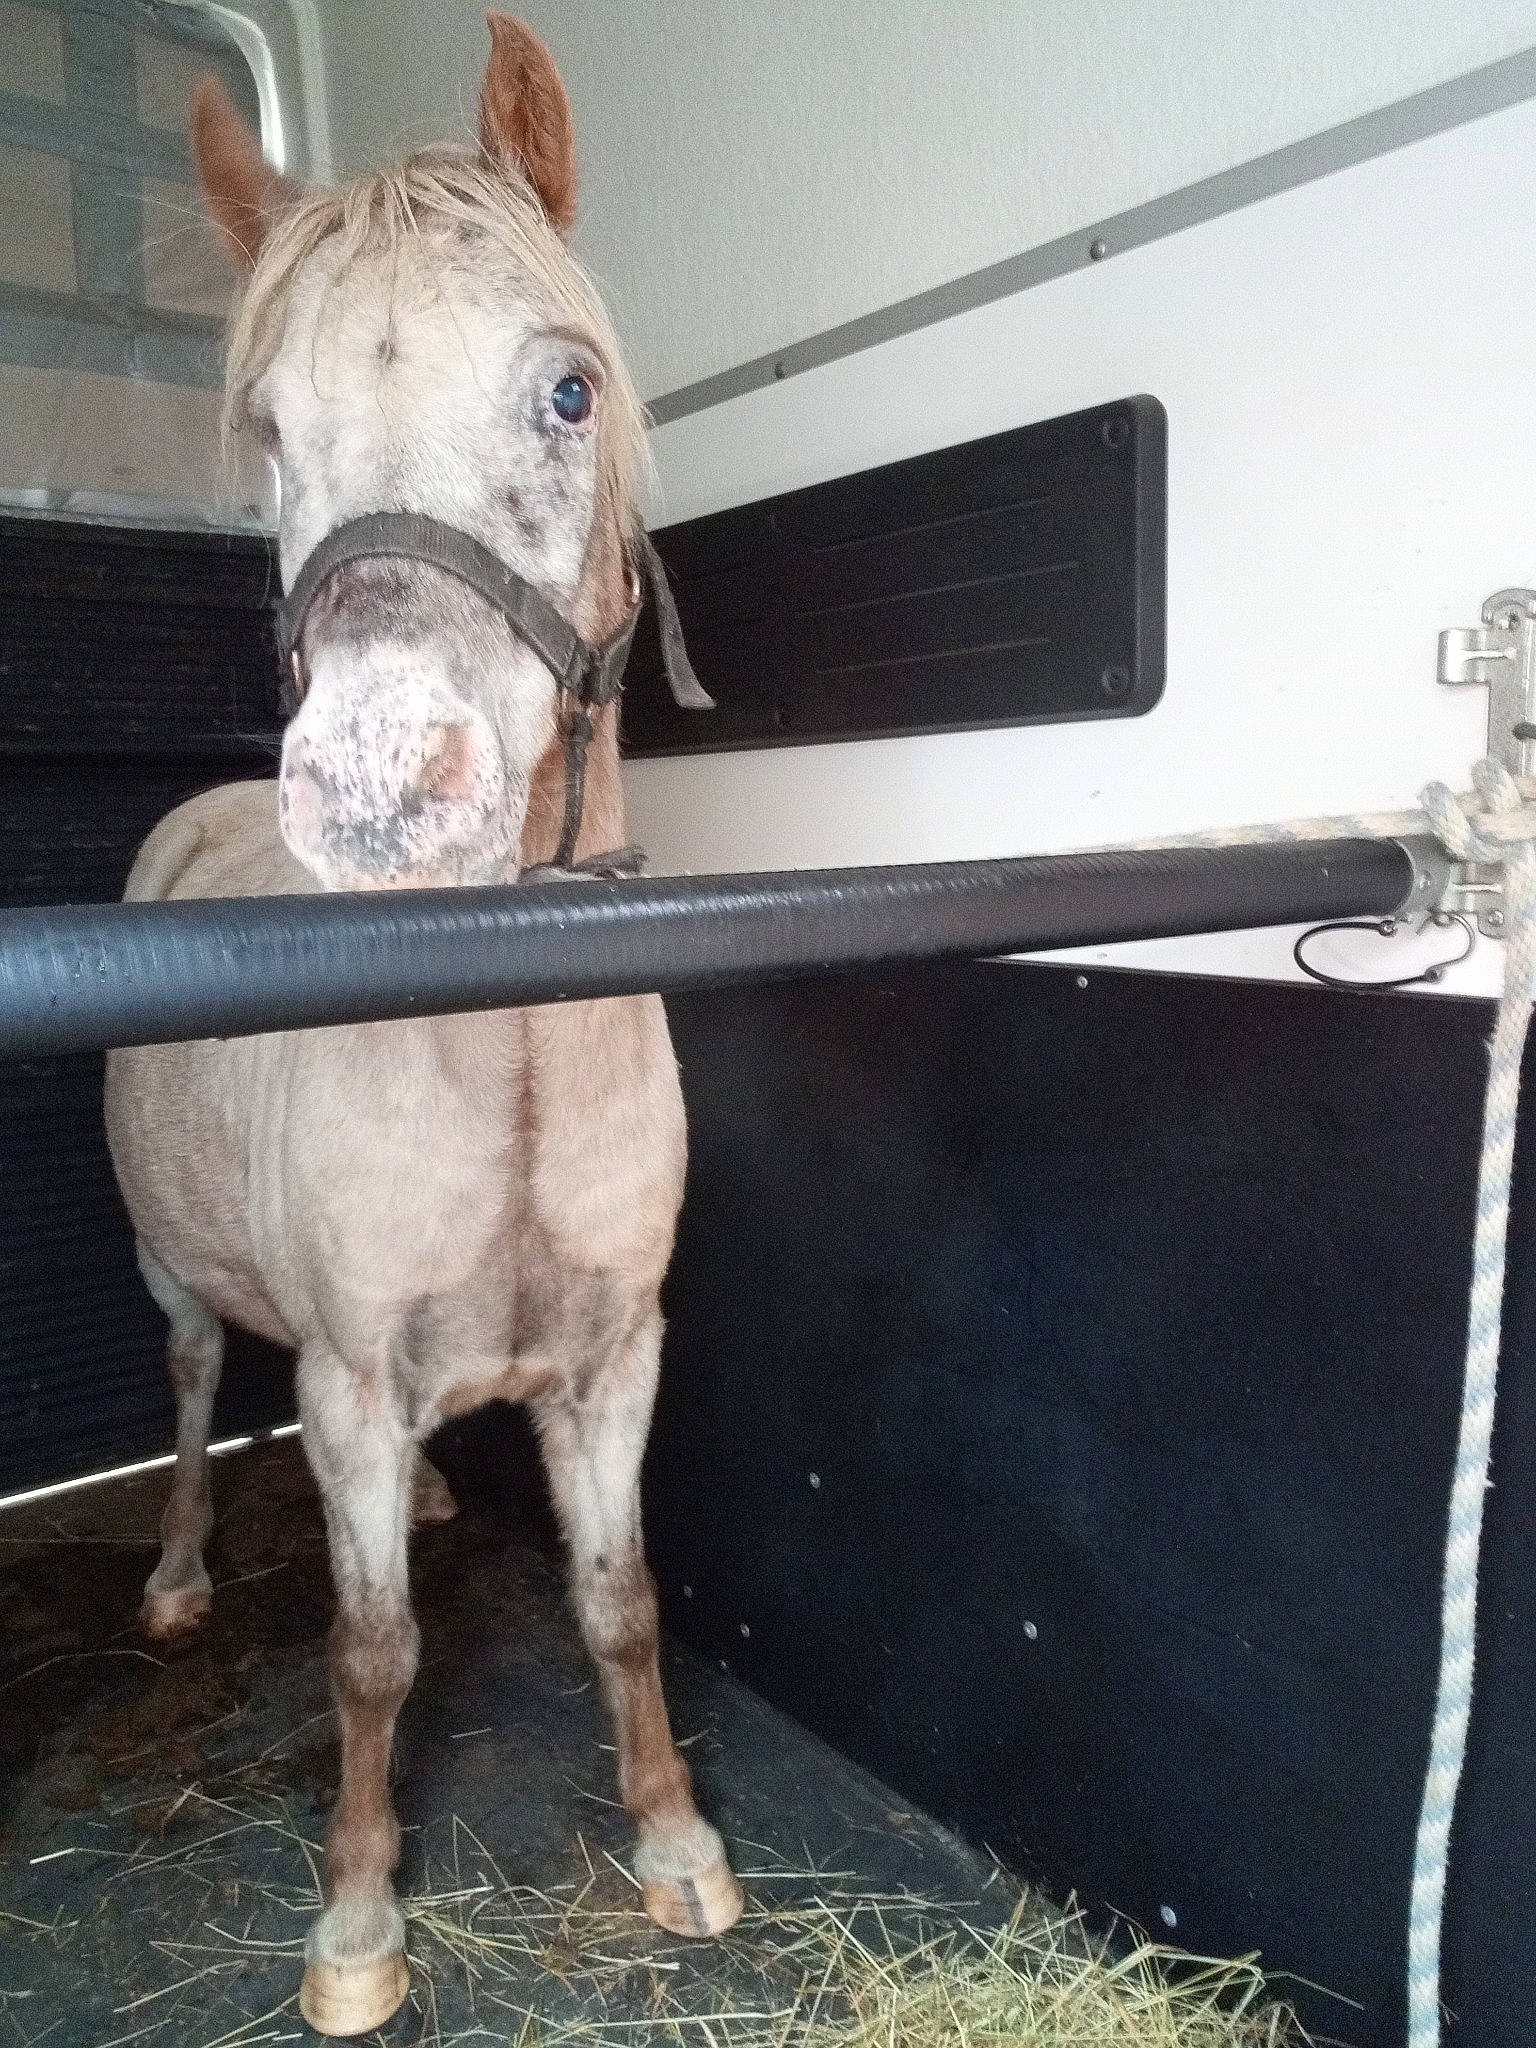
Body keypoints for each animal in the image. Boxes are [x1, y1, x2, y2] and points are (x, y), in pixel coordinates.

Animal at [103, 17, 742, 2035]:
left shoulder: (615, 1359)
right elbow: (369, 1652)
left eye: (566, 391)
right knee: (191, 1387)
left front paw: (677, 1842)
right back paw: (172, 1578)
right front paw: (359, 1922)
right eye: (272, 438)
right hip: (177, 1282)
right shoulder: (351, 1388)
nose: (386, 787)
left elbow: (622, 1598)